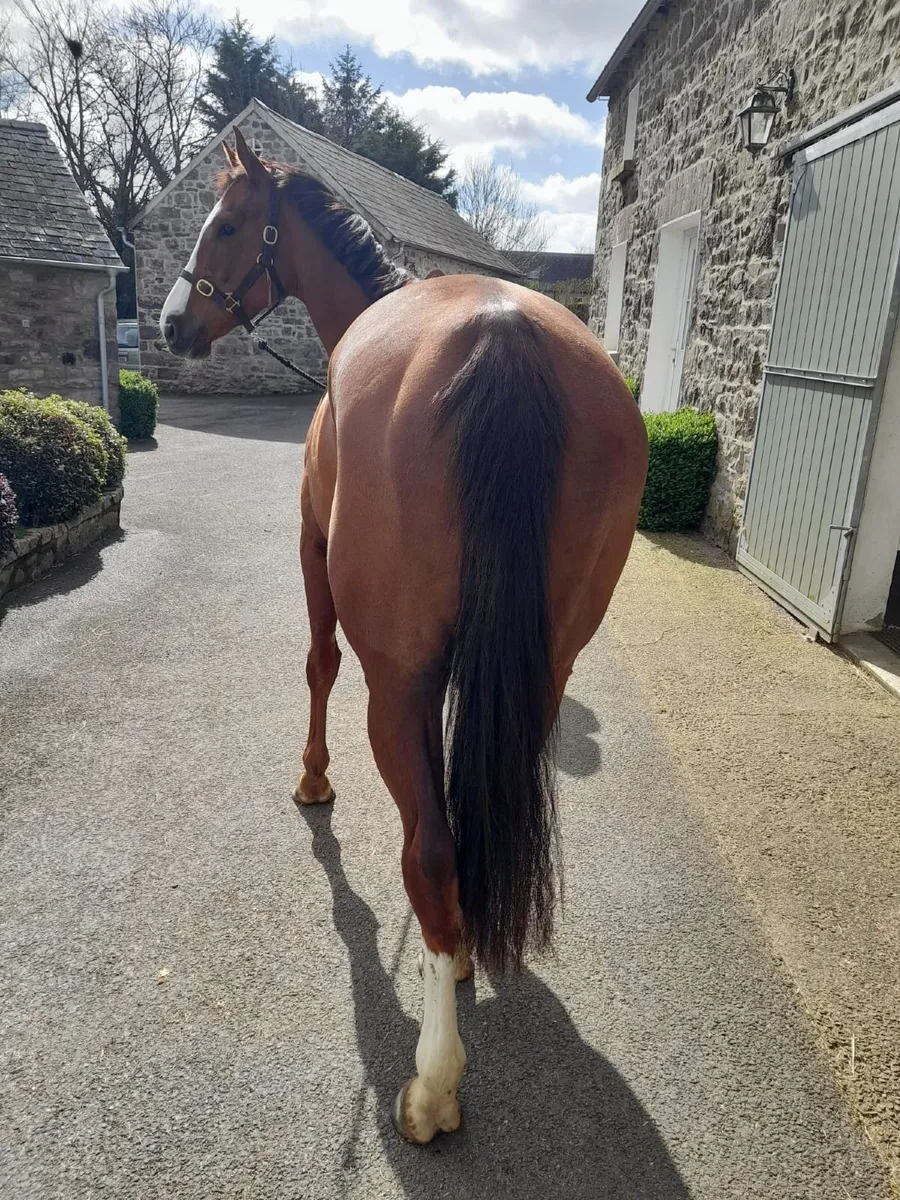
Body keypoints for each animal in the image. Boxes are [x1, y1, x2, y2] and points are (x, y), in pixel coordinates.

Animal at [160, 129, 648, 1145]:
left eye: (224, 225)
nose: (171, 323)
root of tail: (501, 336)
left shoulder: (311, 549)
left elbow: (316, 665)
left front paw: (313, 779)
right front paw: (457, 949)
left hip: (396, 682)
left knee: (422, 846)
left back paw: (434, 1082)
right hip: (545, 664)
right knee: (462, 822)